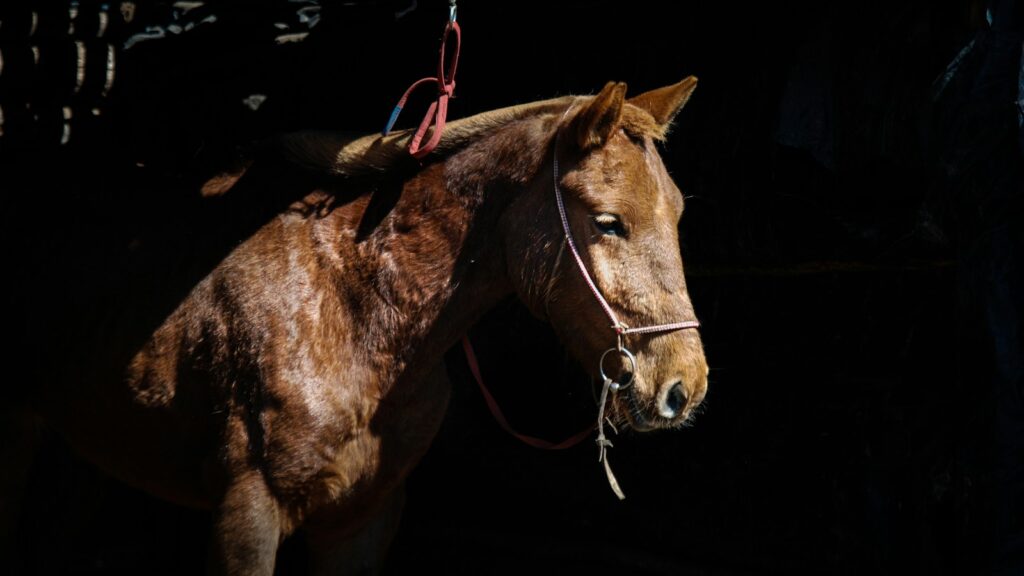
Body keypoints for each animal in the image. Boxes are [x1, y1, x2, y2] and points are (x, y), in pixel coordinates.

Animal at [3, 77, 708, 574]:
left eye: (677, 215)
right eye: (609, 221)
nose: (685, 385)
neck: (354, 310)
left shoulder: (364, 521)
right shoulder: (247, 514)